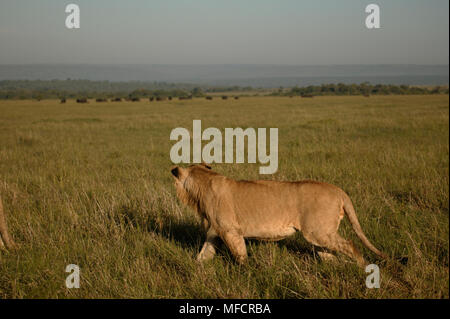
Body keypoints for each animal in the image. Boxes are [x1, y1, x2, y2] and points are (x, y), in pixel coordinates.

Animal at [172, 165, 386, 268]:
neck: (203, 184)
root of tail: (338, 190)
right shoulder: (215, 232)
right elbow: (204, 254)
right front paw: (195, 269)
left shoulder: (231, 231)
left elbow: (240, 256)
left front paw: (246, 272)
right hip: (319, 235)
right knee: (329, 255)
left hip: (318, 232)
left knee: (350, 245)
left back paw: (363, 269)